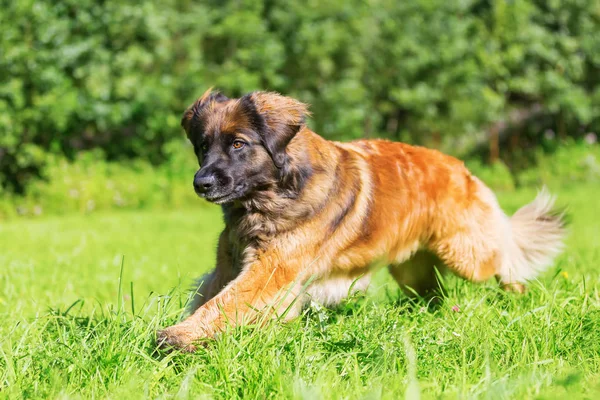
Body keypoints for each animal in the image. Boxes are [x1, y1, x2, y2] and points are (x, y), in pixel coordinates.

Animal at [156, 88, 568, 350]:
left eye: (238, 144)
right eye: (202, 147)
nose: (201, 183)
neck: (274, 191)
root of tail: (458, 166)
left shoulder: (270, 270)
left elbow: (221, 305)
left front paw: (177, 337)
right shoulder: (230, 263)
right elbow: (211, 296)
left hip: (466, 254)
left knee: (504, 257)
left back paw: (517, 294)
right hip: (412, 271)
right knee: (435, 295)